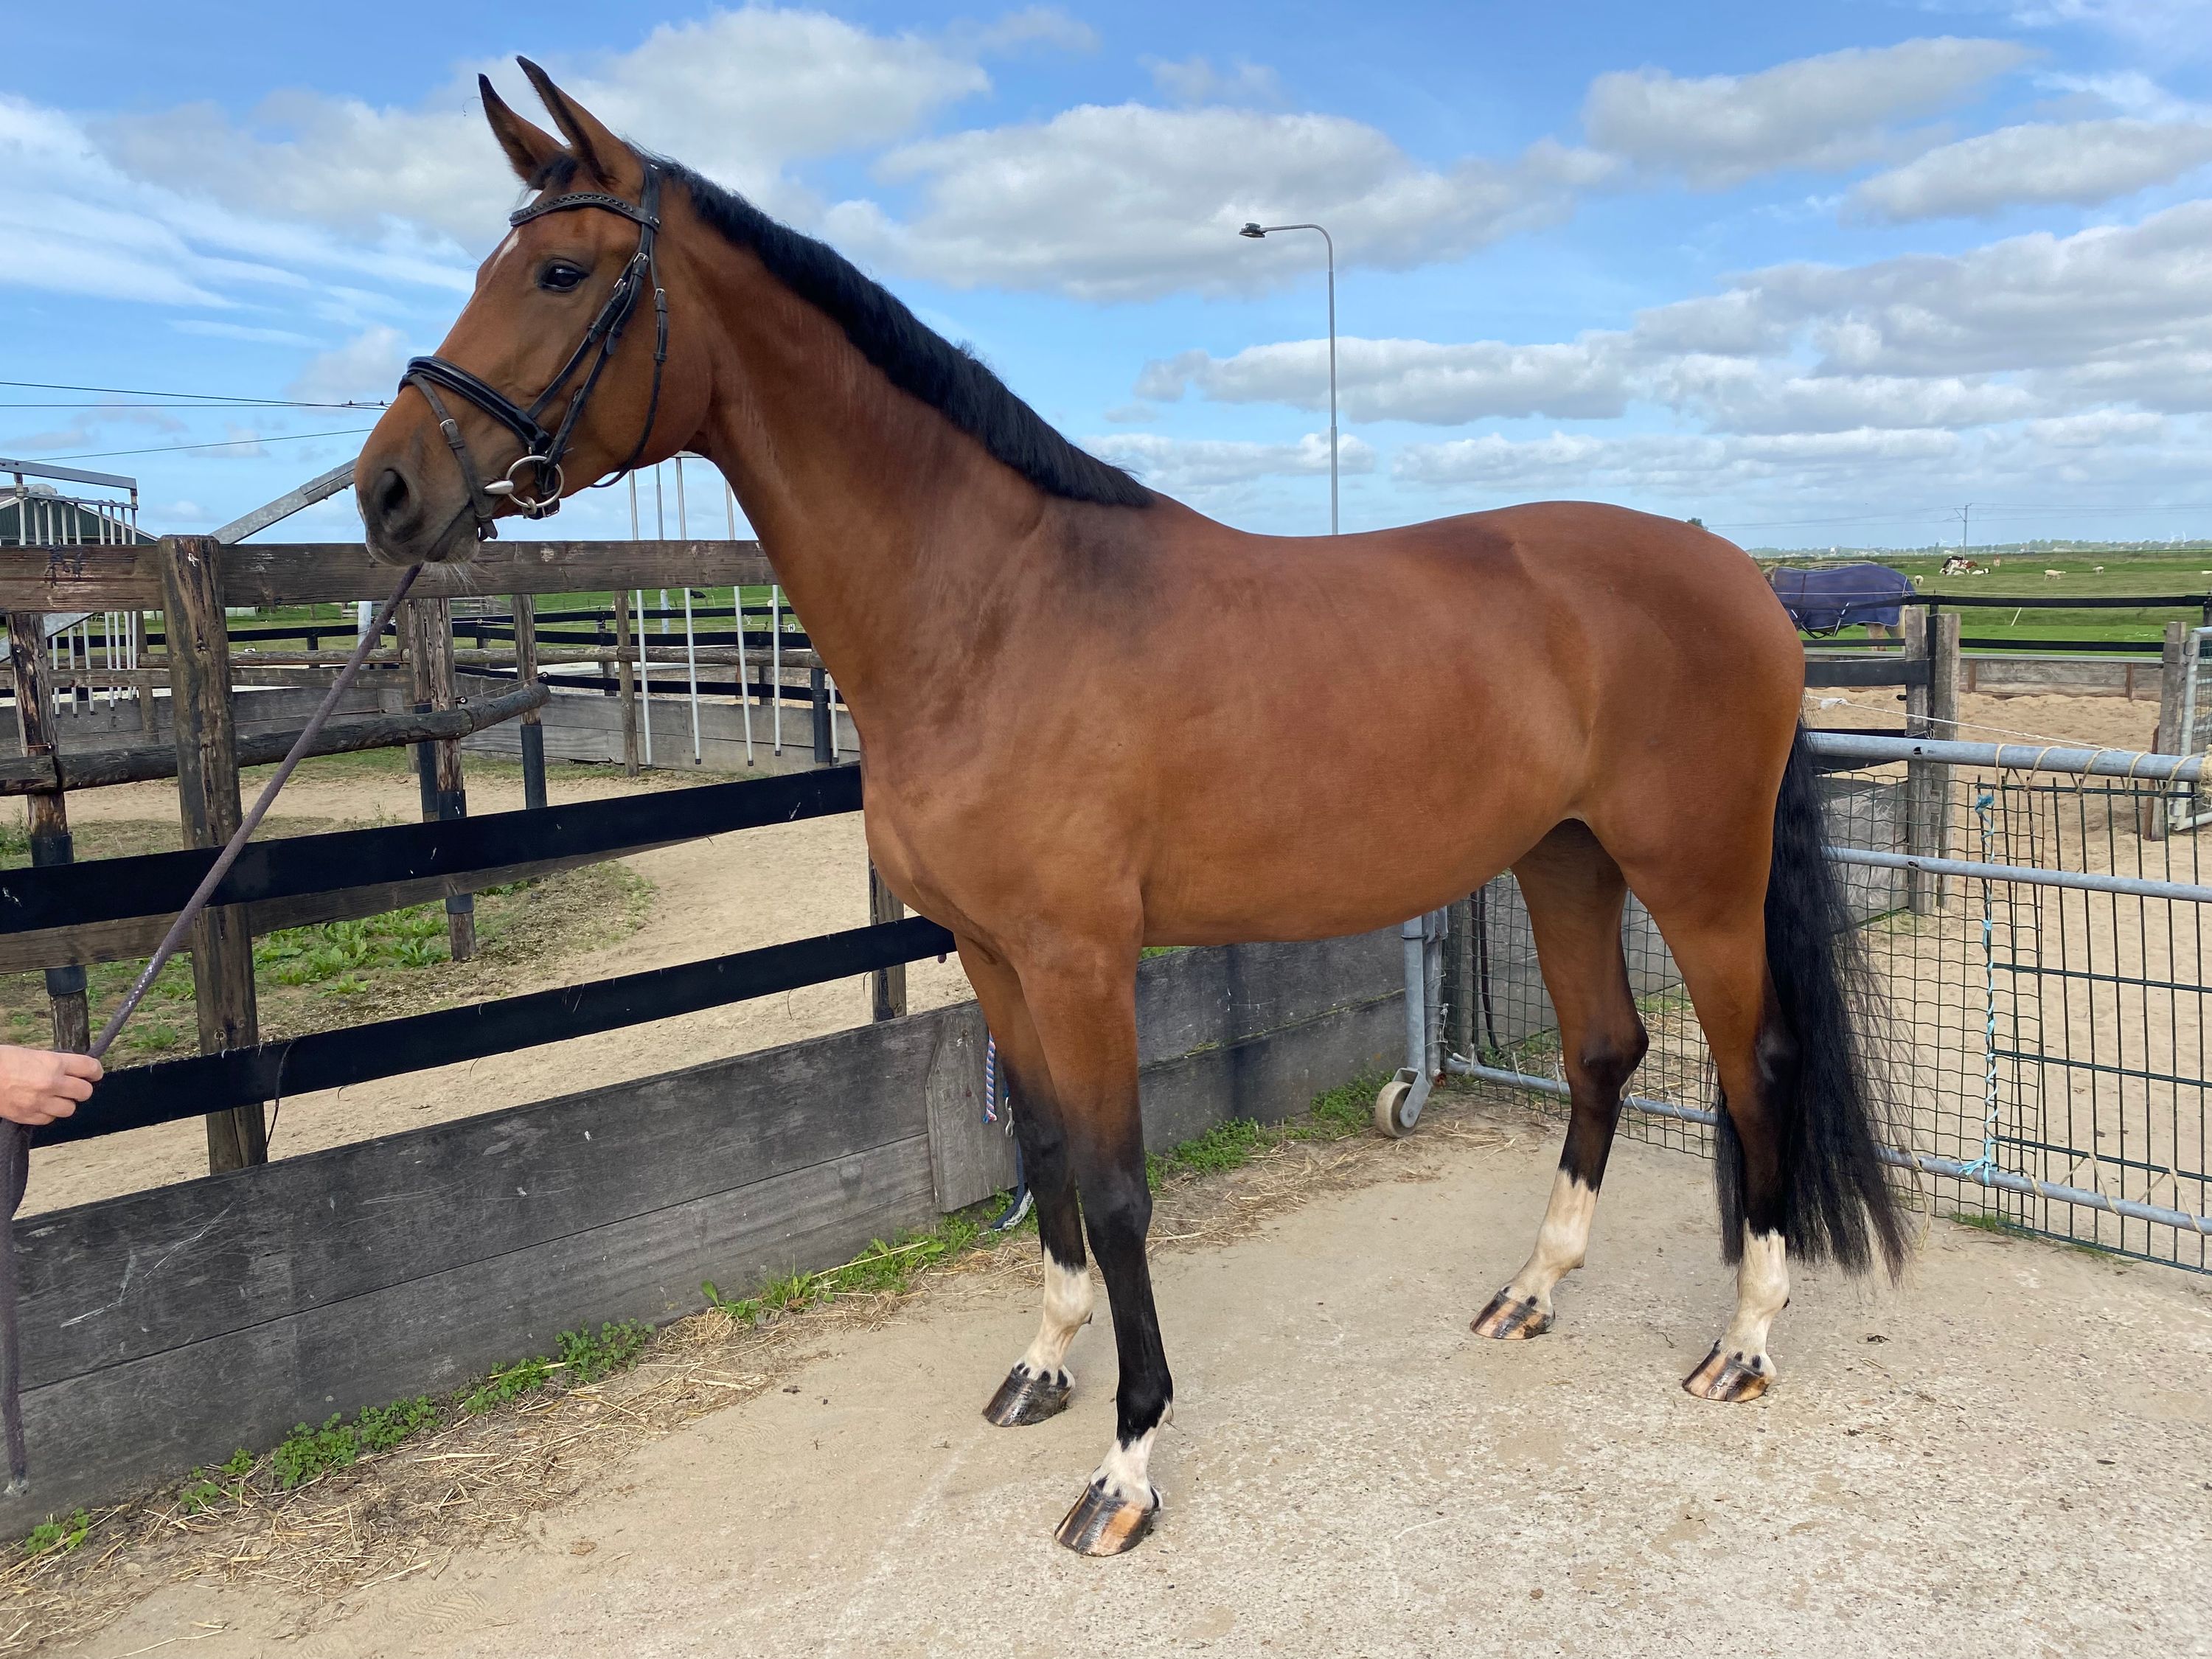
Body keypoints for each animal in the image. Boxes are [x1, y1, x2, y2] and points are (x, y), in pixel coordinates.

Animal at [355, 61, 1907, 1556]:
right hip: (1565, 858)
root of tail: (1739, 572)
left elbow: (1115, 1190)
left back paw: (1745, 1342)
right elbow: (1042, 1158)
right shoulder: (991, 955)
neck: (992, 614)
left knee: (1758, 1061)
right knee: (1603, 1049)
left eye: (560, 274)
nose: (387, 490)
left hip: (1696, 876)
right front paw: (1044, 1370)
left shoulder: (1083, 961)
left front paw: (1128, 1464)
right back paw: (1533, 1289)